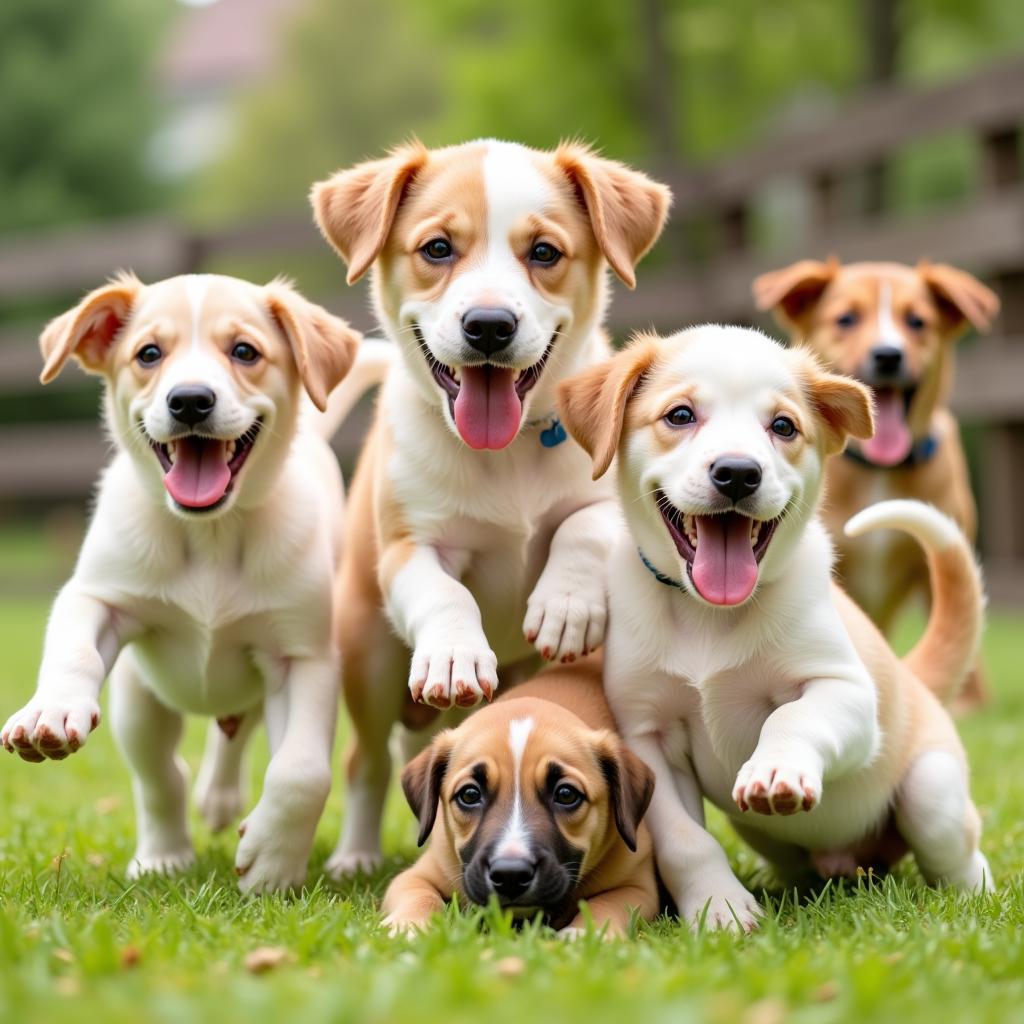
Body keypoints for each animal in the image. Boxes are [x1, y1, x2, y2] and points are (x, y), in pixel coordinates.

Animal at [2, 276, 362, 892]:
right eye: (149, 354)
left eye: (244, 351)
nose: (190, 400)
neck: (210, 533)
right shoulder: (100, 596)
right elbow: (74, 648)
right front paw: (52, 710)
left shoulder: (304, 655)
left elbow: (302, 770)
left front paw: (271, 864)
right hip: (138, 699)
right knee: (159, 774)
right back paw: (163, 854)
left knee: (233, 738)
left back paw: (221, 801)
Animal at [382, 655, 655, 937]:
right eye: (469, 795)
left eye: (566, 794)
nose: (510, 875)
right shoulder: (417, 875)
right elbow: (419, 895)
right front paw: (408, 927)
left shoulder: (638, 888)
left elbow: (605, 905)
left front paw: (582, 935)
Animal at [557, 325, 995, 929]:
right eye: (680, 415)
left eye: (783, 426)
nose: (738, 473)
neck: (710, 617)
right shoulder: (648, 738)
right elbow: (686, 842)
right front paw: (718, 909)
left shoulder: (846, 691)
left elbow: (793, 716)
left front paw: (774, 768)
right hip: (765, 836)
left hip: (931, 794)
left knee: (961, 857)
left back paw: (975, 899)